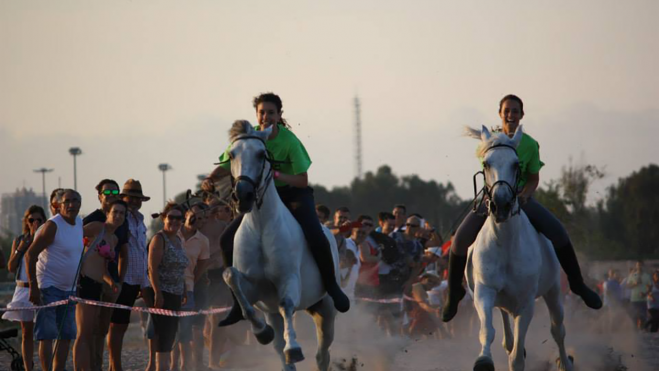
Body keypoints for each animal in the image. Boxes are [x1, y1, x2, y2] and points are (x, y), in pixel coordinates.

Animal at [223, 120, 338, 370]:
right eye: (232, 154)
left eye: (261, 154)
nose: (243, 196)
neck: (261, 228)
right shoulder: (255, 290)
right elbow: (231, 278)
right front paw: (261, 332)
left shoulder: (289, 279)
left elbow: (287, 304)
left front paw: (293, 347)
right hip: (274, 314)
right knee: (282, 351)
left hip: (325, 309)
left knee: (322, 355)